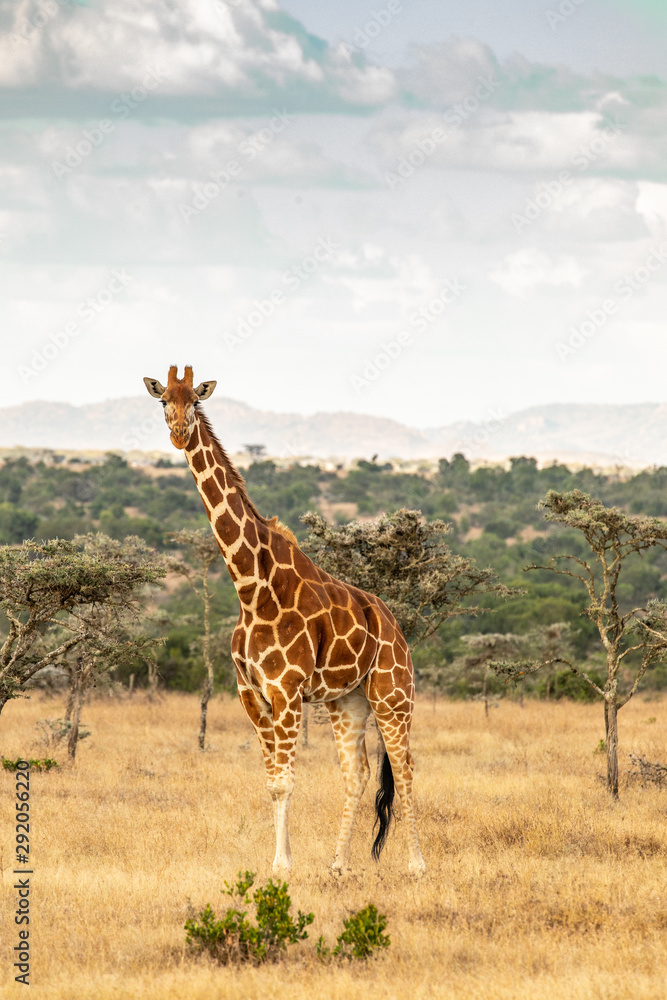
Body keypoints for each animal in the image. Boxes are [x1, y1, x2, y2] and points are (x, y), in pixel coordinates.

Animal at [144, 366, 425, 874]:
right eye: (162, 401)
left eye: (195, 400)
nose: (177, 433)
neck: (251, 587)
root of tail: (396, 627)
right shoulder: (251, 693)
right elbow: (273, 781)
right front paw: (284, 860)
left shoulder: (286, 689)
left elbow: (285, 781)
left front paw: (281, 865)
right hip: (348, 700)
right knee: (358, 774)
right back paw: (338, 865)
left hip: (393, 694)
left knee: (405, 767)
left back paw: (416, 865)